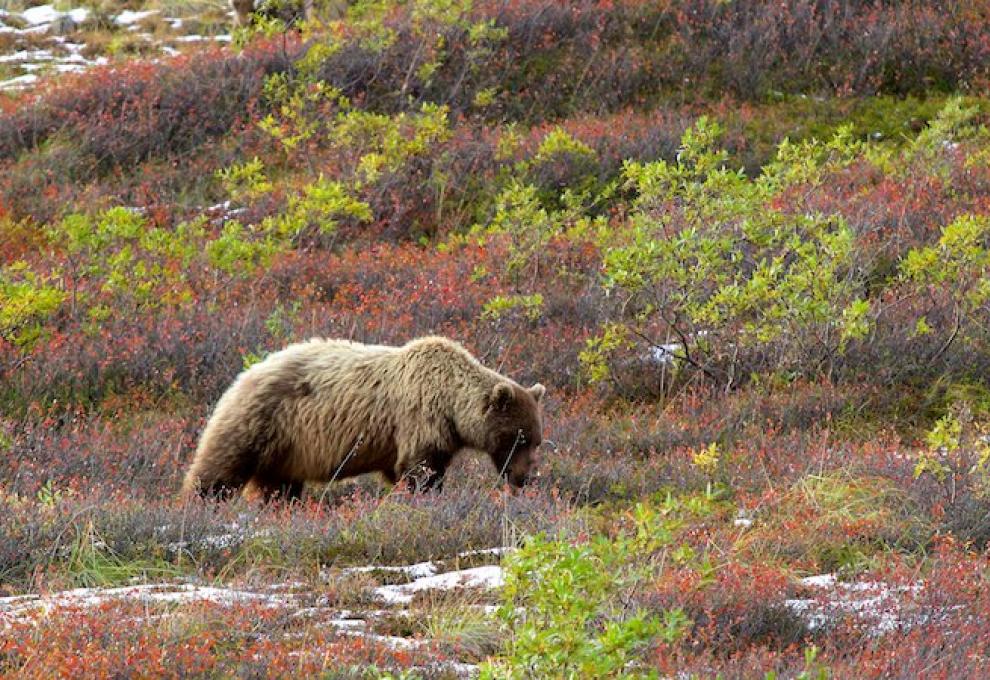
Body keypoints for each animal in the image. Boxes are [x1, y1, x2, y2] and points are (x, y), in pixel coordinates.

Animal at [182, 338, 548, 502]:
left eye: (536, 440)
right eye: (520, 438)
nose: (523, 477)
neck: (451, 406)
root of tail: (244, 374)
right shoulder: (419, 420)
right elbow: (420, 470)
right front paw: (428, 497)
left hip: (284, 450)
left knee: (280, 487)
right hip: (261, 423)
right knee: (220, 469)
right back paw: (198, 504)